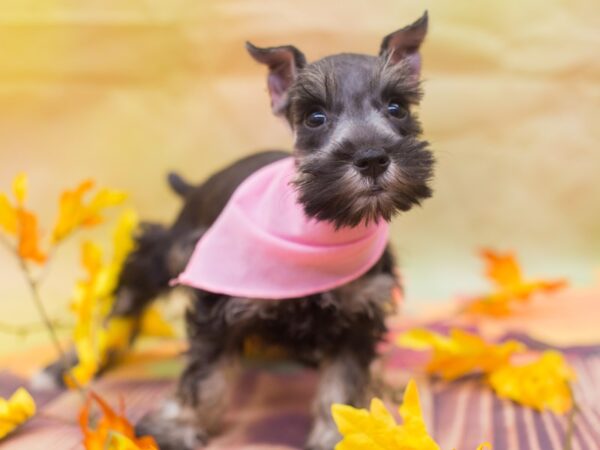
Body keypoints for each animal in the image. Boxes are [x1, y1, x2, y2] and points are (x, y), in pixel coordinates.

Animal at [37, 11, 434, 450]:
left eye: (397, 108)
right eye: (315, 117)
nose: (372, 158)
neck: (326, 226)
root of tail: (201, 184)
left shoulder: (359, 313)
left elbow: (342, 387)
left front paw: (339, 435)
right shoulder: (218, 306)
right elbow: (205, 374)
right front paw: (177, 426)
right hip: (166, 254)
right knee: (119, 311)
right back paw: (69, 365)